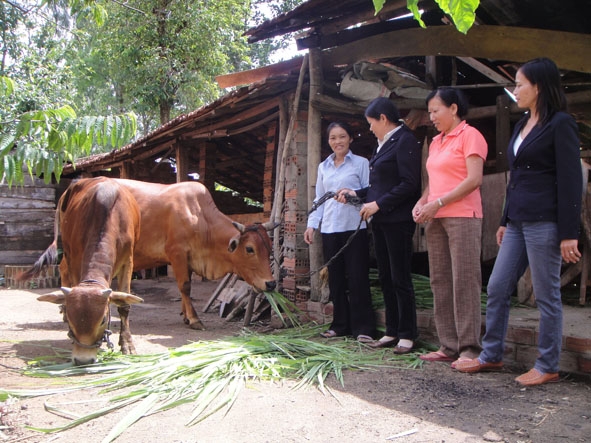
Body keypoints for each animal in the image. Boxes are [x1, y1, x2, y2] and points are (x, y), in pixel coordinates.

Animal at [20, 179, 143, 366]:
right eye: (72, 321)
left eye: (102, 320)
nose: (83, 360)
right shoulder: (76, 260)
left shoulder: (128, 261)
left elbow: (124, 306)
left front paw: (127, 345)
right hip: (67, 250)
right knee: (63, 268)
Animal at [115, 180, 278, 330]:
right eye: (250, 249)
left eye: (270, 247)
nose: (271, 284)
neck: (201, 218)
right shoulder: (177, 253)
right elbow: (185, 286)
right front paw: (194, 319)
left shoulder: (189, 259)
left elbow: (186, 287)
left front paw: (186, 317)